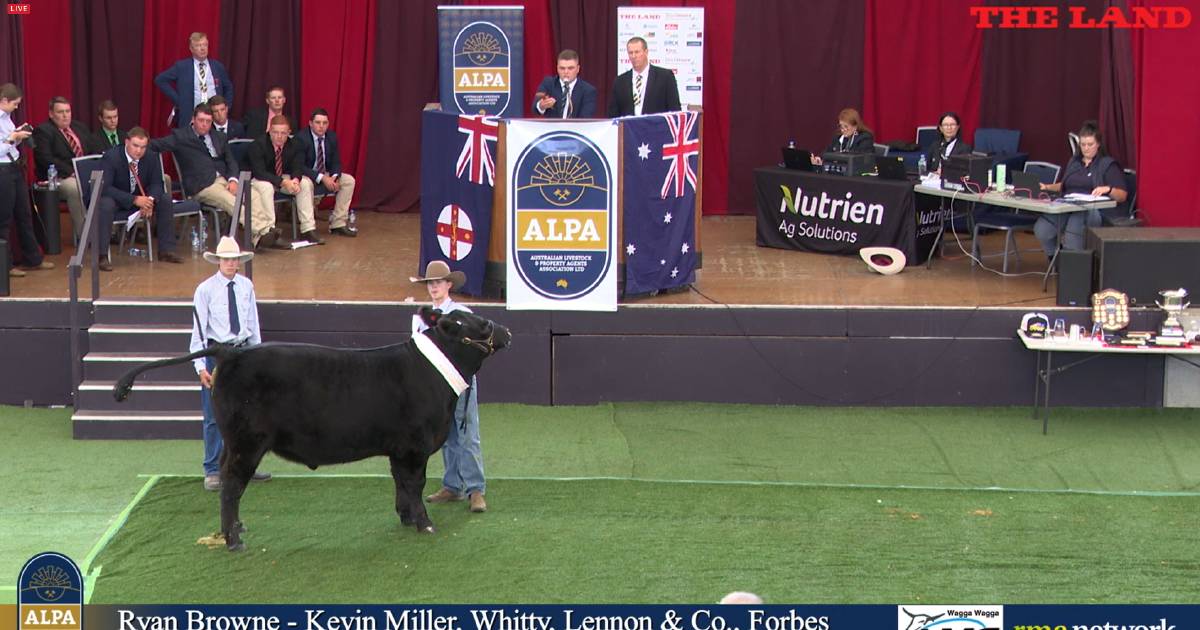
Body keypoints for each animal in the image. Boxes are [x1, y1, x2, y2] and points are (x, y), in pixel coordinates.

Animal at [109, 307, 511, 547]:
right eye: (481, 324)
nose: (506, 329)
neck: (433, 376)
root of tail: (232, 351)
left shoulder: (398, 449)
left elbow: (400, 484)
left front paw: (405, 517)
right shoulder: (414, 446)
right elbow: (414, 484)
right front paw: (425, 524)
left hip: (234, 441)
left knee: (227, 479)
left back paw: (235, 530)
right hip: (247, 443)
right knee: (233, 484)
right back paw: (234, 540)